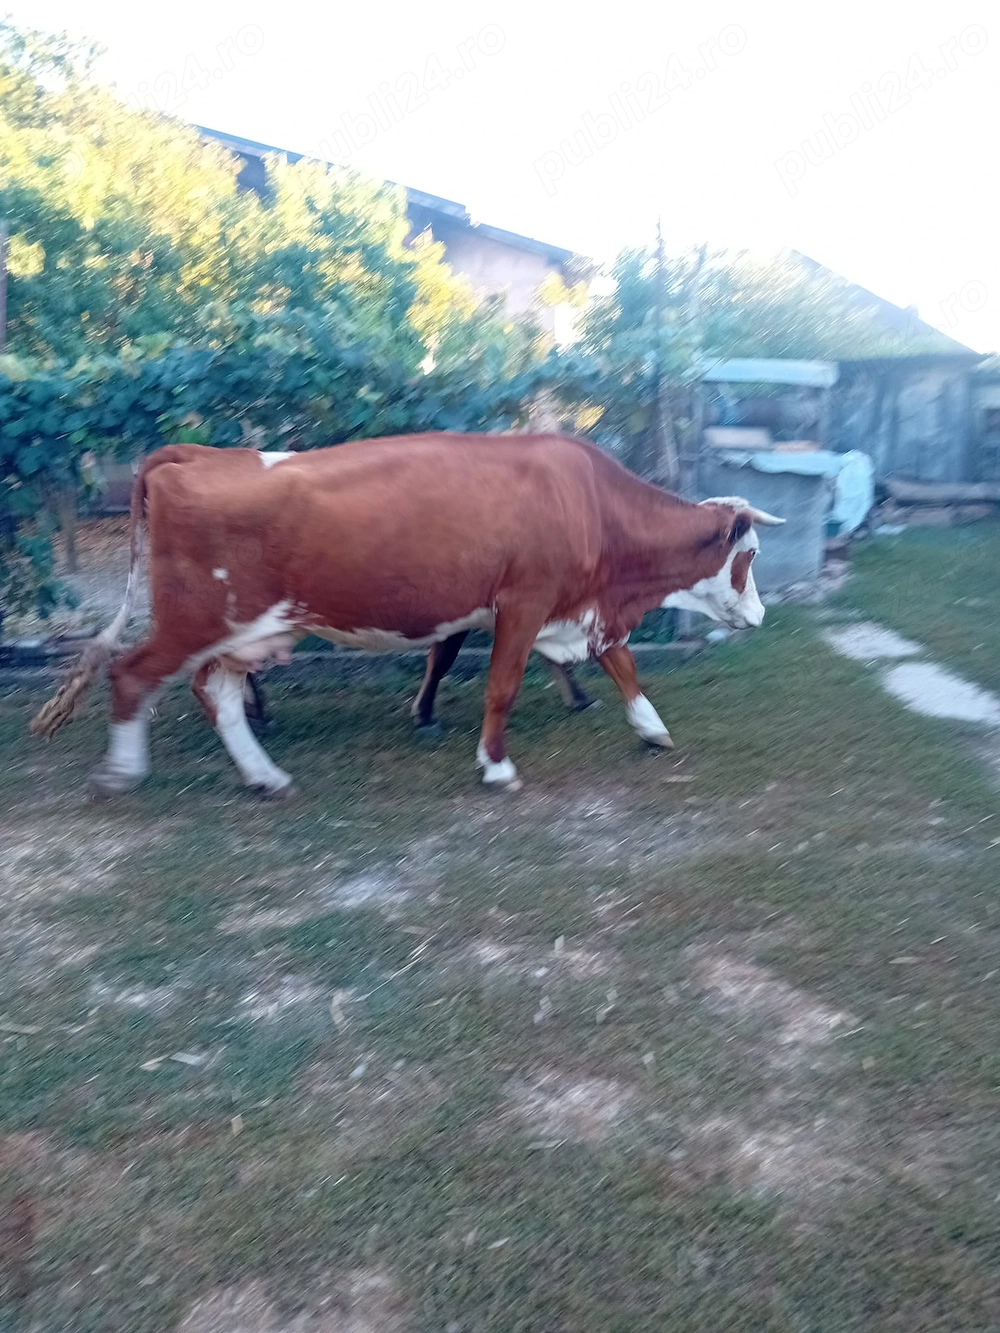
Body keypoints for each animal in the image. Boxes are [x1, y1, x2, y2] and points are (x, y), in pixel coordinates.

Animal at [30, 433, 782, 796]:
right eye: (749, 555)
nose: (761, 616)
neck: (589, 500)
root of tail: (198, 454)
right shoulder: (526, 599)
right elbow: (501, 685)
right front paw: (494, 766)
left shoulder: (571, 607)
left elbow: (621, 663)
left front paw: (652, 729)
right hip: (196, 618)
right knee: (133, 675)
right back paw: (123, 773)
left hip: (253, 628)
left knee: (215, 691)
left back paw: (265, 776)